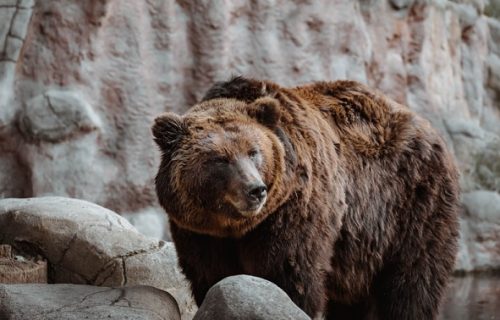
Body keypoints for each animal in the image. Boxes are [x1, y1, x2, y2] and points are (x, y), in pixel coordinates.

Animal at [152, 77, 460, 320]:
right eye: (219, 159)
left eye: (254, 152)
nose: (256, 189)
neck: (234, 226)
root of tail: (432, 131)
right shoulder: (199, 232)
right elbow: (211, 275)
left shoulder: (294, 210)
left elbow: (290, 273)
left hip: (412, 205)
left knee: (412, 282)